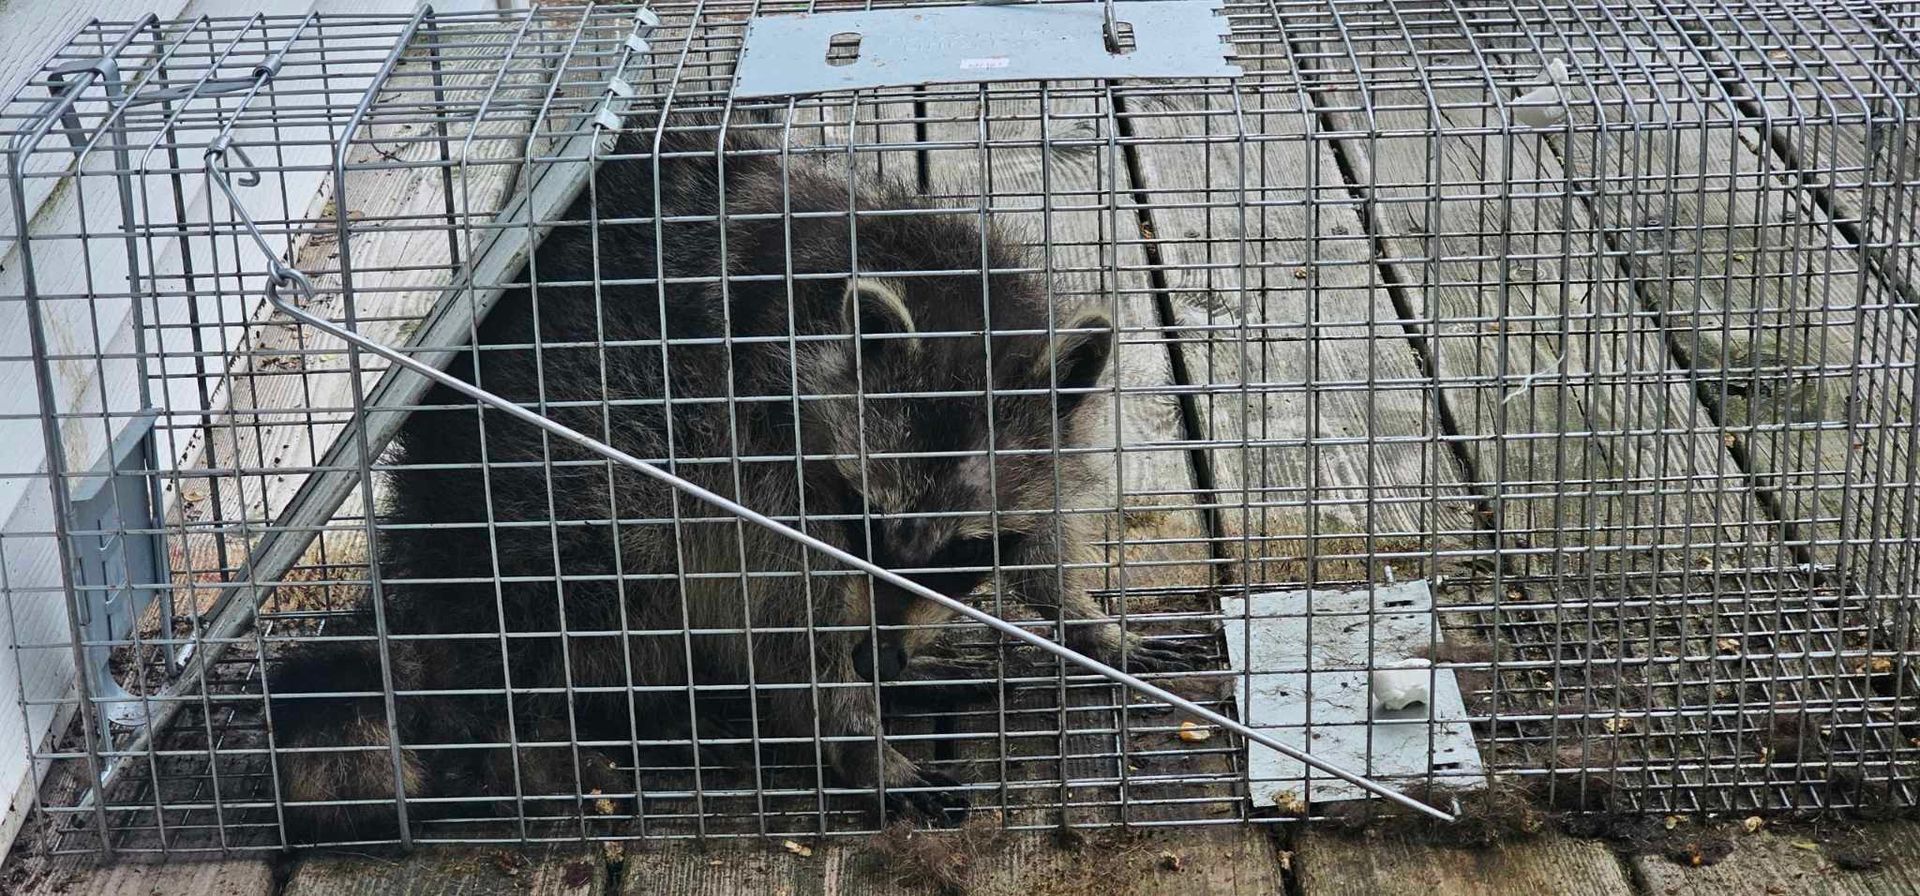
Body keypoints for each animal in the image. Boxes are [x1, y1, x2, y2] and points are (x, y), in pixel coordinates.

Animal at [266, 110, 1198, 840]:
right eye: (864, 517)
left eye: (961, 551)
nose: (882, 658)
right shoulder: (747, 447)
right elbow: (782, 625)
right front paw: (855, 735)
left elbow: (1046, 532)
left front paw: (1083, 615)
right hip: (563, 486)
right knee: (607, 575)